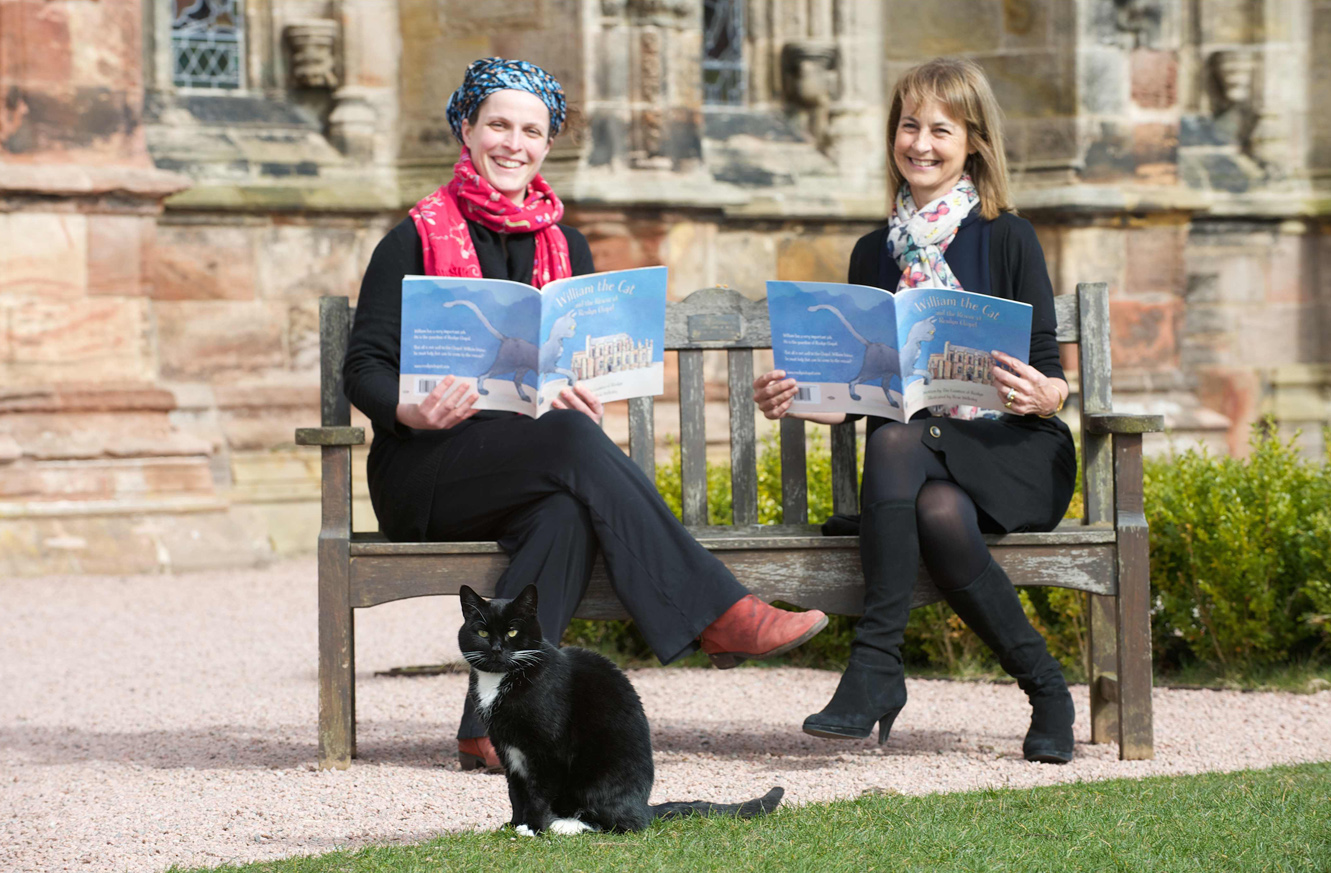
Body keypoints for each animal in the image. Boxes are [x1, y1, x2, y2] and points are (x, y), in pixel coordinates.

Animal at [457, 582, 777, 835]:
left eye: (512, 632)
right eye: (482, 632)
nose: (497, 649)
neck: (500, 680)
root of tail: (645, 805)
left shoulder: (546, 749)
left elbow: (538, 792)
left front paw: (533, 828)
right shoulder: (505, 746)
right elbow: (515, 790)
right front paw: (514, 824)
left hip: (597, 778)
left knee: (625, 824)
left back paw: (567, 825)